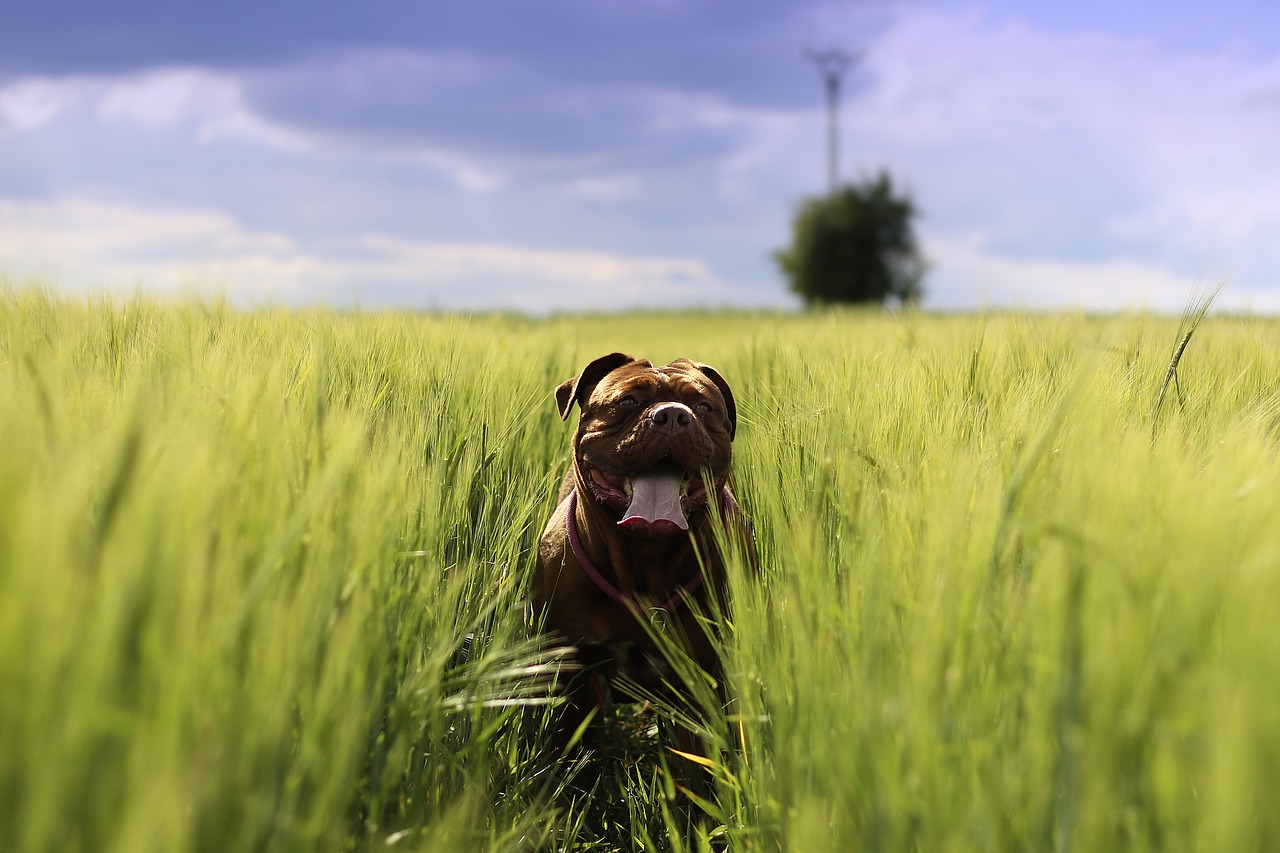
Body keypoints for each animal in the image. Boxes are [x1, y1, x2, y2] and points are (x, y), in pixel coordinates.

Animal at [529, 350, 747, 753]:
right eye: (627, 401)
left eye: (703, 406)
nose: (673, 415)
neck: (644, 559)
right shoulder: (572, 671)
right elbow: (571, 743)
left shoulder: (701, 680)